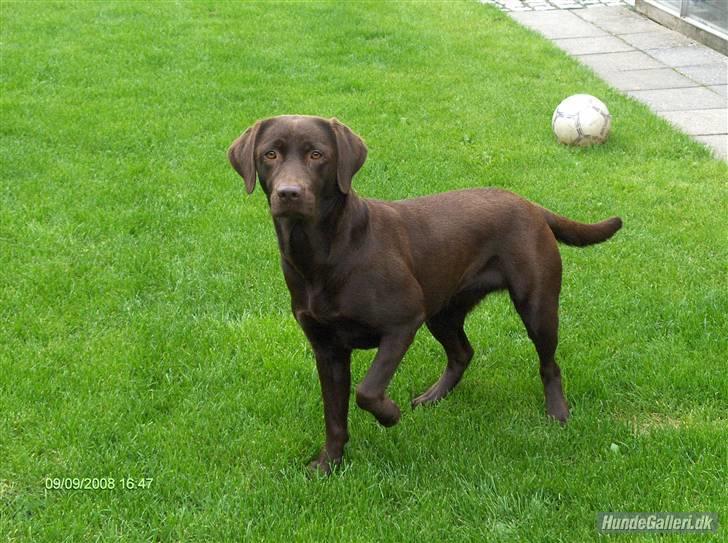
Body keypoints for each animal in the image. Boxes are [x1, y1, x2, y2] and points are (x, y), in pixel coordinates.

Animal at [228, 116, 620, 476]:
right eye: (270, 154)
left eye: (317, 155)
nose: (289, 193)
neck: (322, 254)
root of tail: (530, 205)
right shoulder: (327, 349)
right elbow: (334, 415)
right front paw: (329, 464)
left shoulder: (402, 321)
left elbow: (367, 390)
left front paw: (389, 415)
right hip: (442, 311)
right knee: (462, 353)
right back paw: (434, 397)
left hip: (536, 304)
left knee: (548, 363)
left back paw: (557, 412)